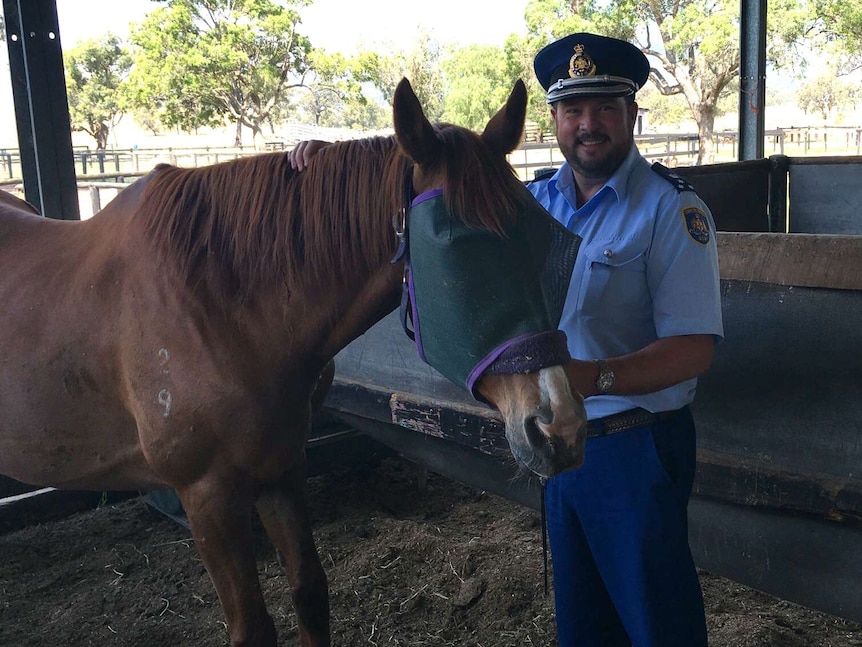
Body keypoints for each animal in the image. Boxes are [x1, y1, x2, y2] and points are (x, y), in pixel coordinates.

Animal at [0, 81, 588, 647]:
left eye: (544, 239)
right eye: (456, 258)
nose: (559, 425)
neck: (215, 302)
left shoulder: (281, 470)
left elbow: (310, 592)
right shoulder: (207, 497)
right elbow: (252, 627)